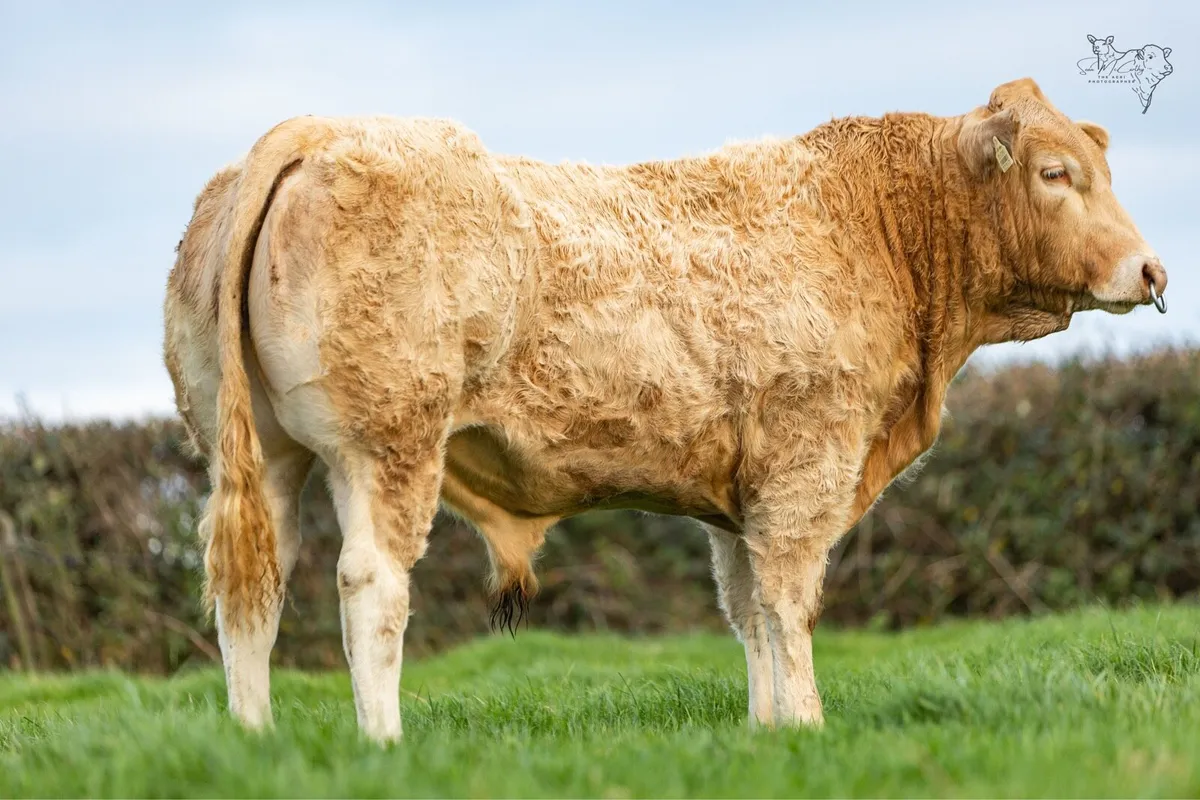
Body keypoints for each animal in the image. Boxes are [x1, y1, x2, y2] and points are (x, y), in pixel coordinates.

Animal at [162, 77, 1168, 744]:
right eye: (1055, 173)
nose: (1153, 269)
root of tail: (314, 128)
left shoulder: (741, 494)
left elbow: (749, 608)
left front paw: (769, 733)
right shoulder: (807, 462)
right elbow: (791, 603)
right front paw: (809, 723)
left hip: (259, 451)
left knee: (255, 588)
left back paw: (255, 741)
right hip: (388, 442)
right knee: (370, 584)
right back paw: (383, 745)